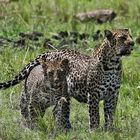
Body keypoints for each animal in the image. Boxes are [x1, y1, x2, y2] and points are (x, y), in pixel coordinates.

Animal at [0, 28, 134, 131]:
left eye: (131, 36)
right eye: (122, 37)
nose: (132, 43)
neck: (113, 64)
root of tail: (52, 51)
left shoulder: (113, 94)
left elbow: (110, 114)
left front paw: (109, 131)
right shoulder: (93, 94)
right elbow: (94, 115)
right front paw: (95, 131)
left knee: (59, 110)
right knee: (61, 111)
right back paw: (66, 129)